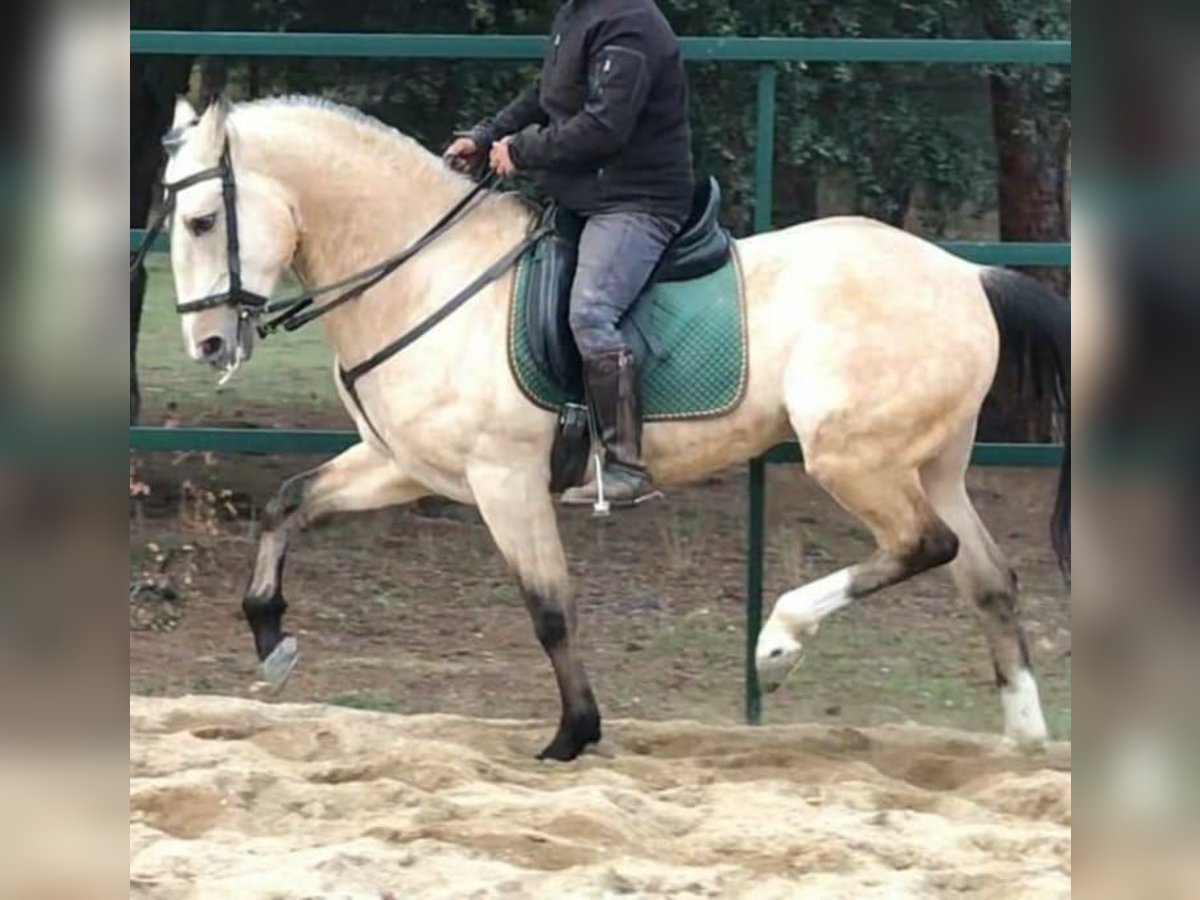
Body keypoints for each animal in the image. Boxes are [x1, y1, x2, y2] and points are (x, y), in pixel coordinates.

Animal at [140, 98, 1070, 763]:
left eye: (199, 221)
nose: (208, 345)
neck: (424, 274)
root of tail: (965, 273)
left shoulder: (504, 481)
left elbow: (549, 608)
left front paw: (572, 735)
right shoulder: (402, 466)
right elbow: (287, 503)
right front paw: (271, 640)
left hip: (853, 459)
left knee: (923, 547)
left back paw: (778, 644)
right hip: (932, 464)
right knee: (989, 577)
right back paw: (1024, 736)